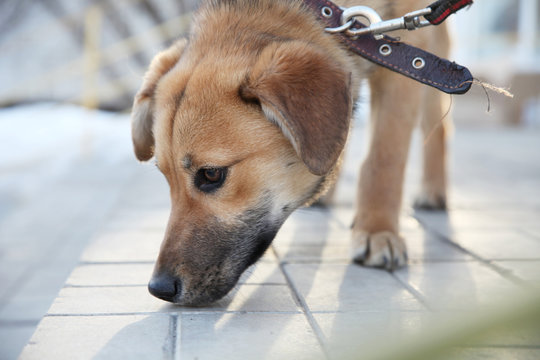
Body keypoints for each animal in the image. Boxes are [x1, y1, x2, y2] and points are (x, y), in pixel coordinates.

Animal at [132, 0, 452, 306]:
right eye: (166, 177)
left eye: (211, 174)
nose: (159, 288)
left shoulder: (410, 54)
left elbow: (384, 157)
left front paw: (377, 230)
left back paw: (432, 191)